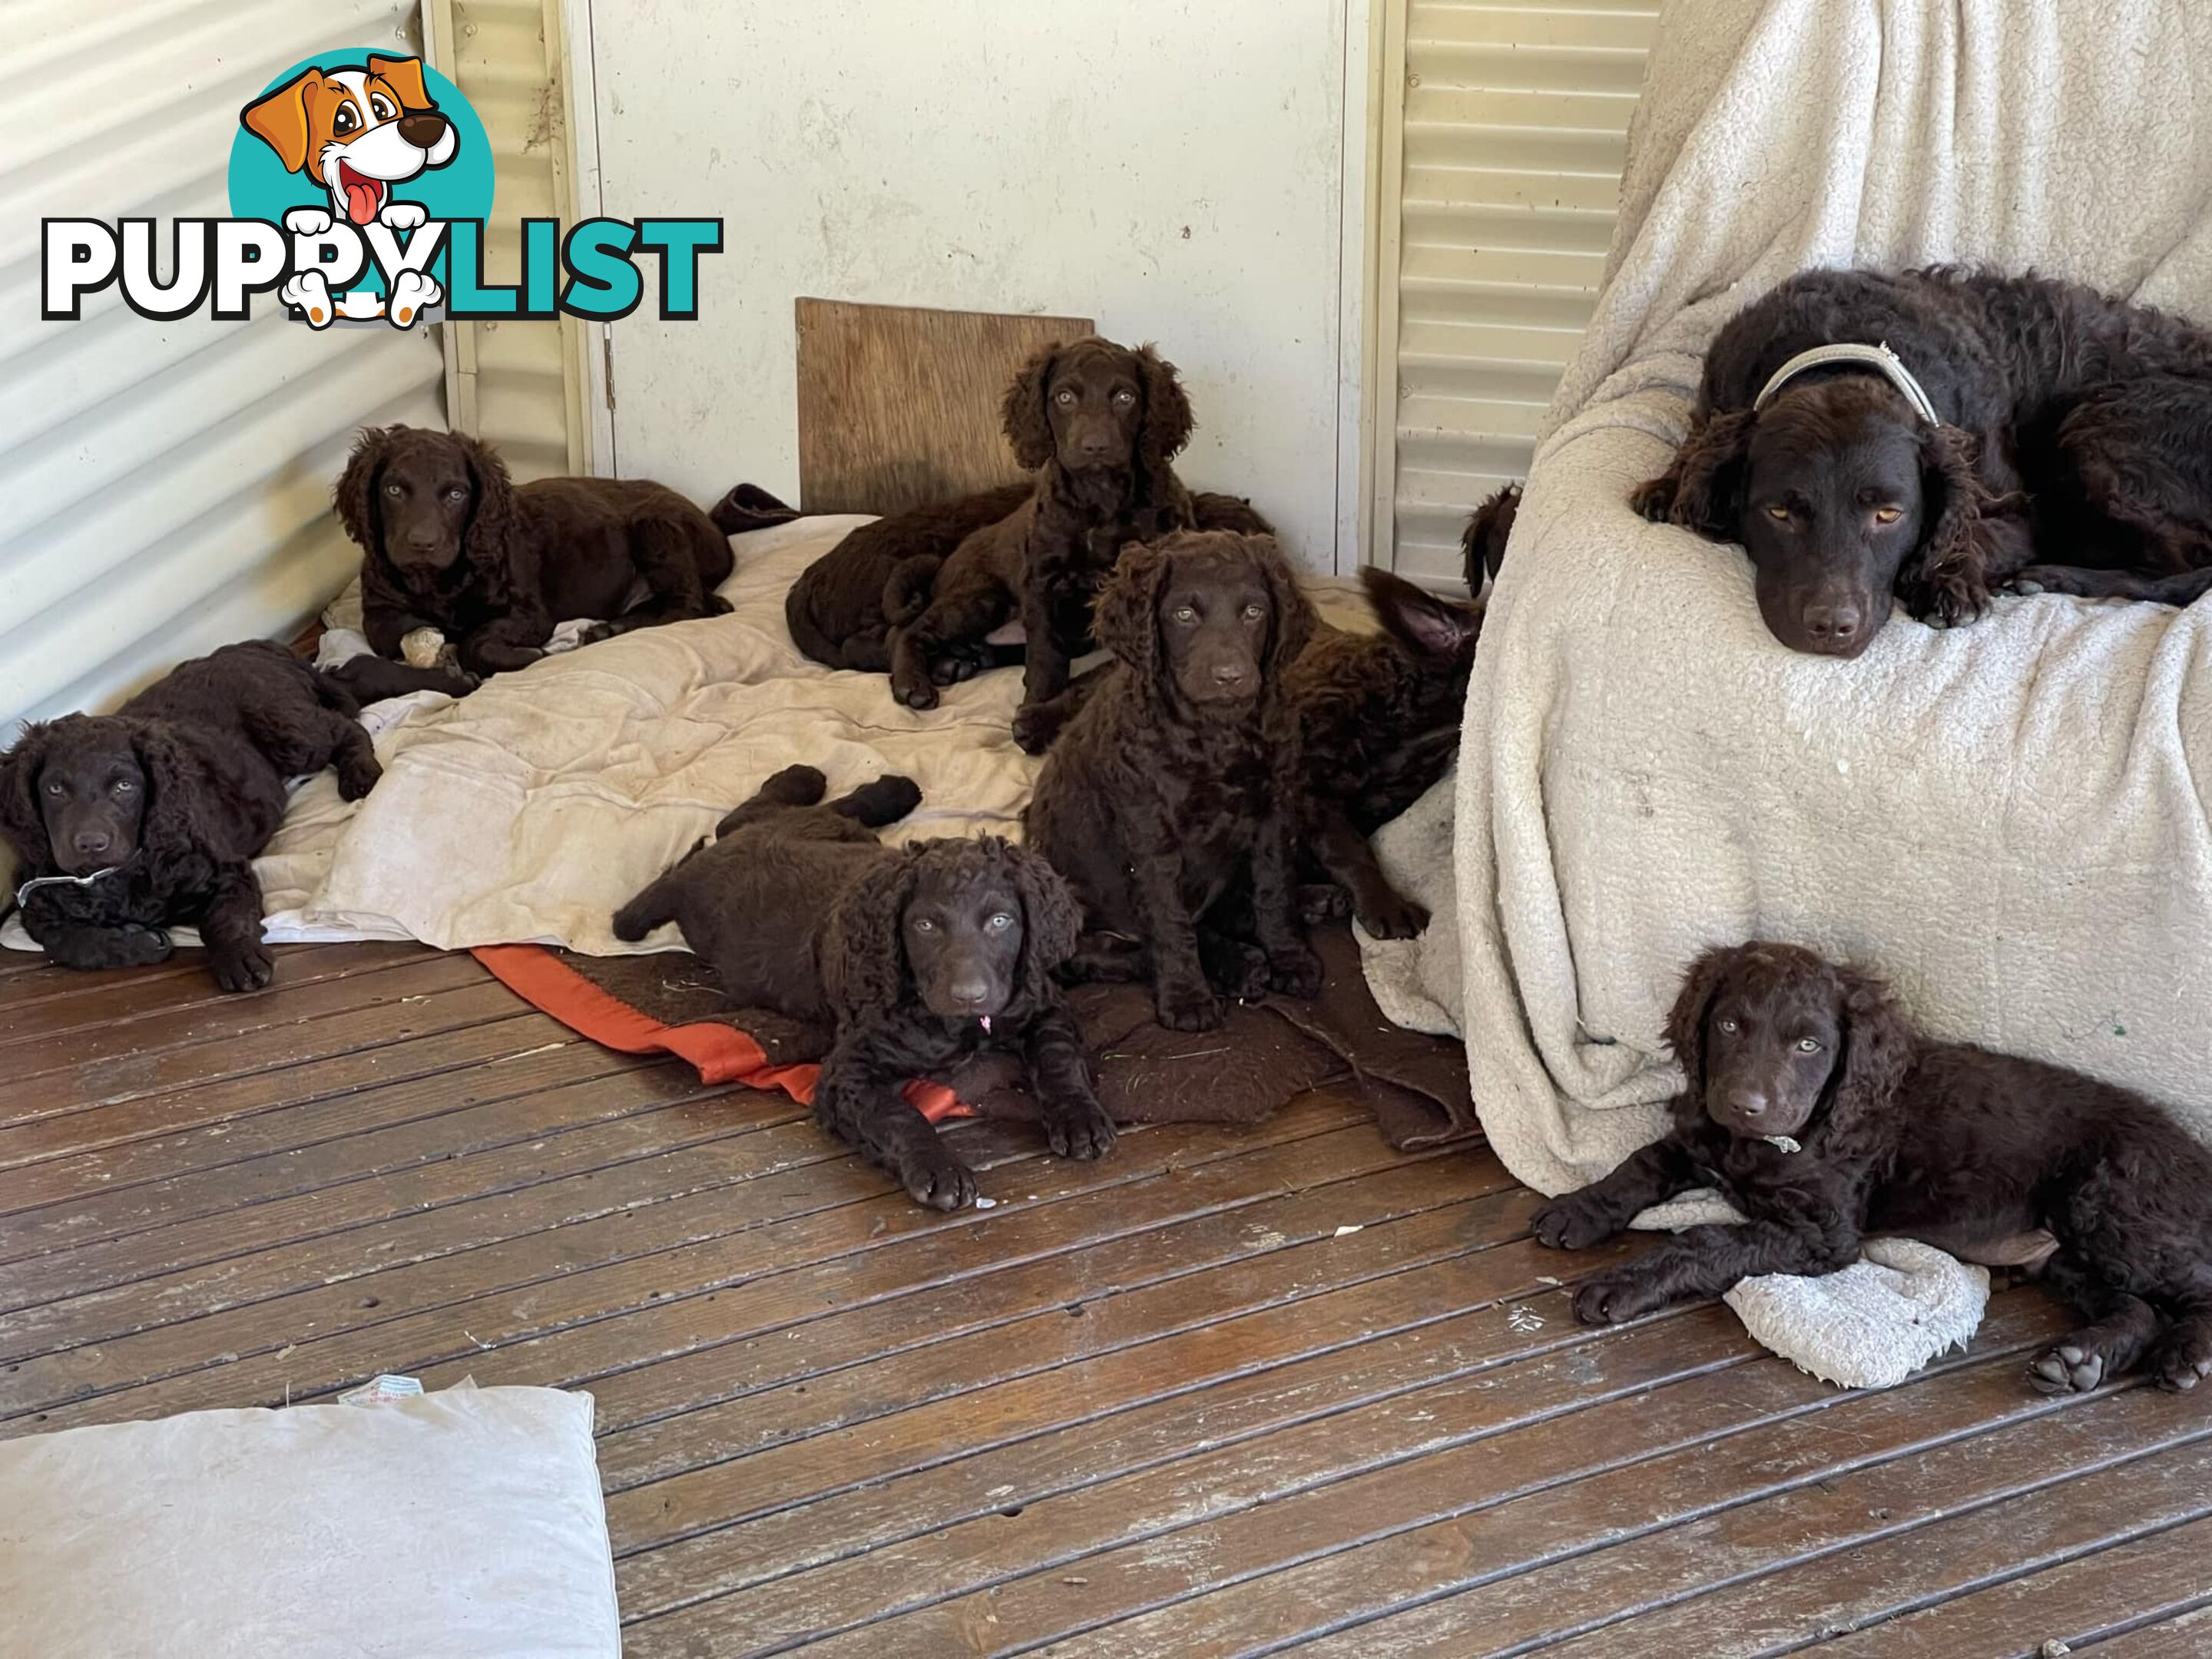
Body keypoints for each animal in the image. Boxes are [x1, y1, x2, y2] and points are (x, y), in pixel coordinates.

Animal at [0, 641, 378, 995]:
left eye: (125, 785)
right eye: (54, 789)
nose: (91, 844)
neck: (114, 879)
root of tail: (255, 646)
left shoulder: (224, 870)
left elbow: (222, 918)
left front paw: (239, 957)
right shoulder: (35, 903)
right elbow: (66, 943)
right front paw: (137, 943)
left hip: (288, 731)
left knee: (345, 728)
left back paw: (360, 772)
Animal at [614, 765, 1106, 1212]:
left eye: (1001, 921)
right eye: (925, 926)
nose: (968, 995)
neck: (956, 1026)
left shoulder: (1039, 1005)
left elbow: (1058, 1057)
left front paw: (1079, 1116)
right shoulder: (848, 1073)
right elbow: (900, 1115)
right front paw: (938, 1169)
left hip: (837, 836)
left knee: (795, 812)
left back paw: (875, 788)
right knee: (737, 823)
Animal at [1026, 533, 1318, 1035]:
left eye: (1254, 611)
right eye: (1184, 614)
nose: (1229, 677)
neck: (1215, 734)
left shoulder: (1274, 813)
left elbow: (1274, 888)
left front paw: (1289, 958)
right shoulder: (1149, 833)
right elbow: (1169, 922)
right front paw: (1187, 998)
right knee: (1103, 954)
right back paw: (1234, 965)